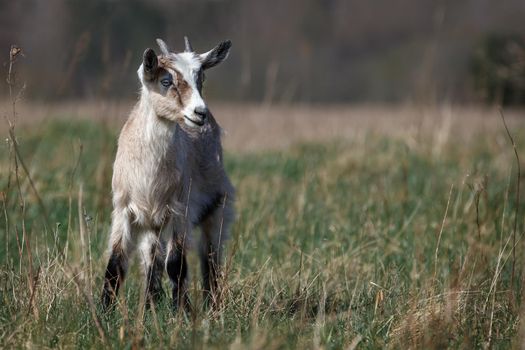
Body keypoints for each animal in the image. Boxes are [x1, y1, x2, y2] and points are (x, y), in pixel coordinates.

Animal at [100, 37, 233, 312]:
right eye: (165, 81)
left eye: (201, 78)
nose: (200, 113)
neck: (149, 176)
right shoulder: (123, 209)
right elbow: (115, 264)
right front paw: (102, 312)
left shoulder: (181, 209)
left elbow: (177, 264)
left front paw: (182, 311)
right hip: (153, 223)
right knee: (153, 258)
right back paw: (151, 303)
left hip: (218, 207)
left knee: (210, 256)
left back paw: (212, 304)